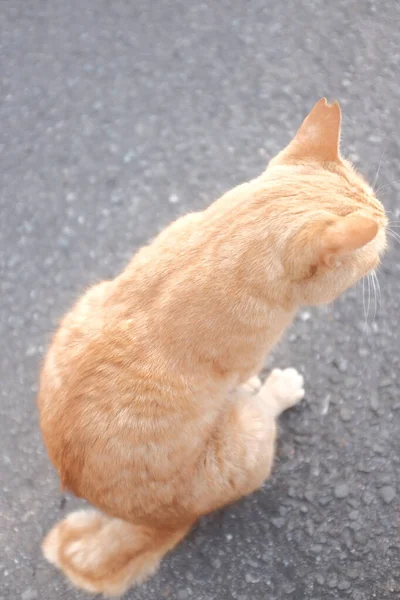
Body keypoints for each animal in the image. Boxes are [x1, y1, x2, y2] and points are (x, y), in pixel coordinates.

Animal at [37, 99, 388, 596]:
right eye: (378, 239)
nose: (389, 222)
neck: (216, 240)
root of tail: (158, 522)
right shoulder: (245, 361)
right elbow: (246, 377)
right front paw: (263, 384)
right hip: (249, 438)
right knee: (259, 413)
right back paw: (275, 391)